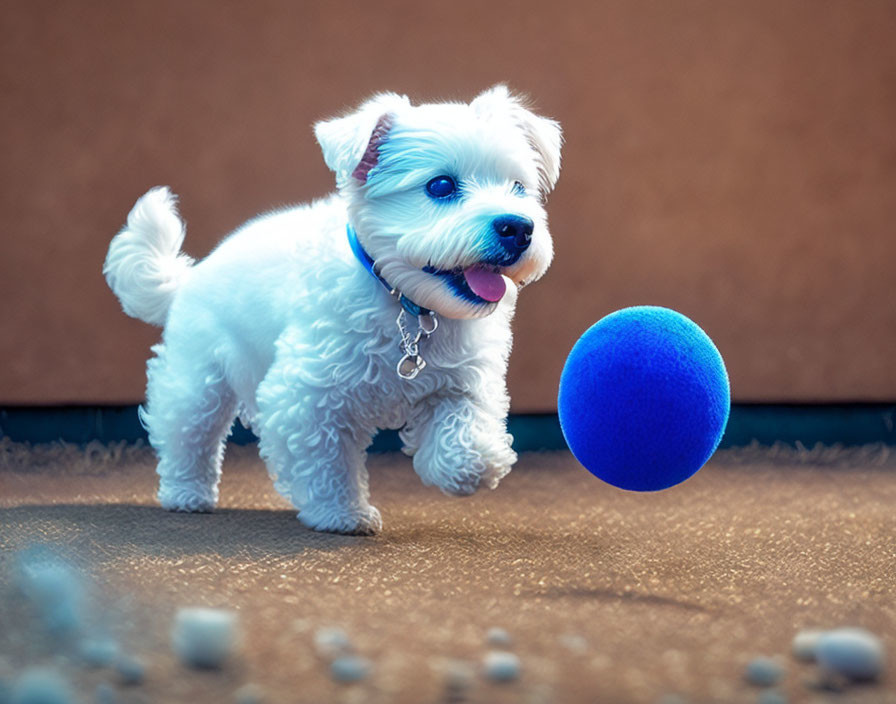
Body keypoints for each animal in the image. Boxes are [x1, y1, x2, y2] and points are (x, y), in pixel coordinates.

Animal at [107, 85, 560, 532]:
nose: (518, 227)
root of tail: (192, 274)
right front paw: (342, 514)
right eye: (441, 186)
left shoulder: (461, 380)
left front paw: (470, 465)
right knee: (186, 435)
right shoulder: (306, 397)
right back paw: (187, 494)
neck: (407, 305)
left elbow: (463, 421)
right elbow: (327, 463)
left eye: (518, 187)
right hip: (199, 381)